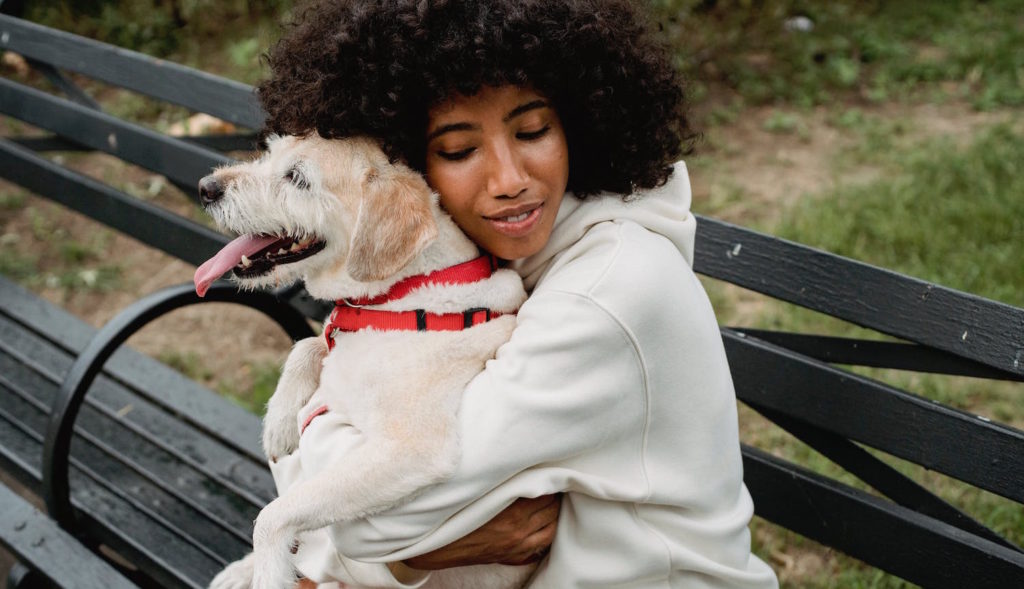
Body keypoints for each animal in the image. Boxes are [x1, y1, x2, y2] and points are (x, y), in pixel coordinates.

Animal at [192, 135, 532, 589]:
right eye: (271, 152)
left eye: (297, 177)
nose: (206, 187)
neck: (403, 296)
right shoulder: (337, 335)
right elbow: (308, 343)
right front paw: (279, 423)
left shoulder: (411, 450)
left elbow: (272, 517)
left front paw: (268, 573)